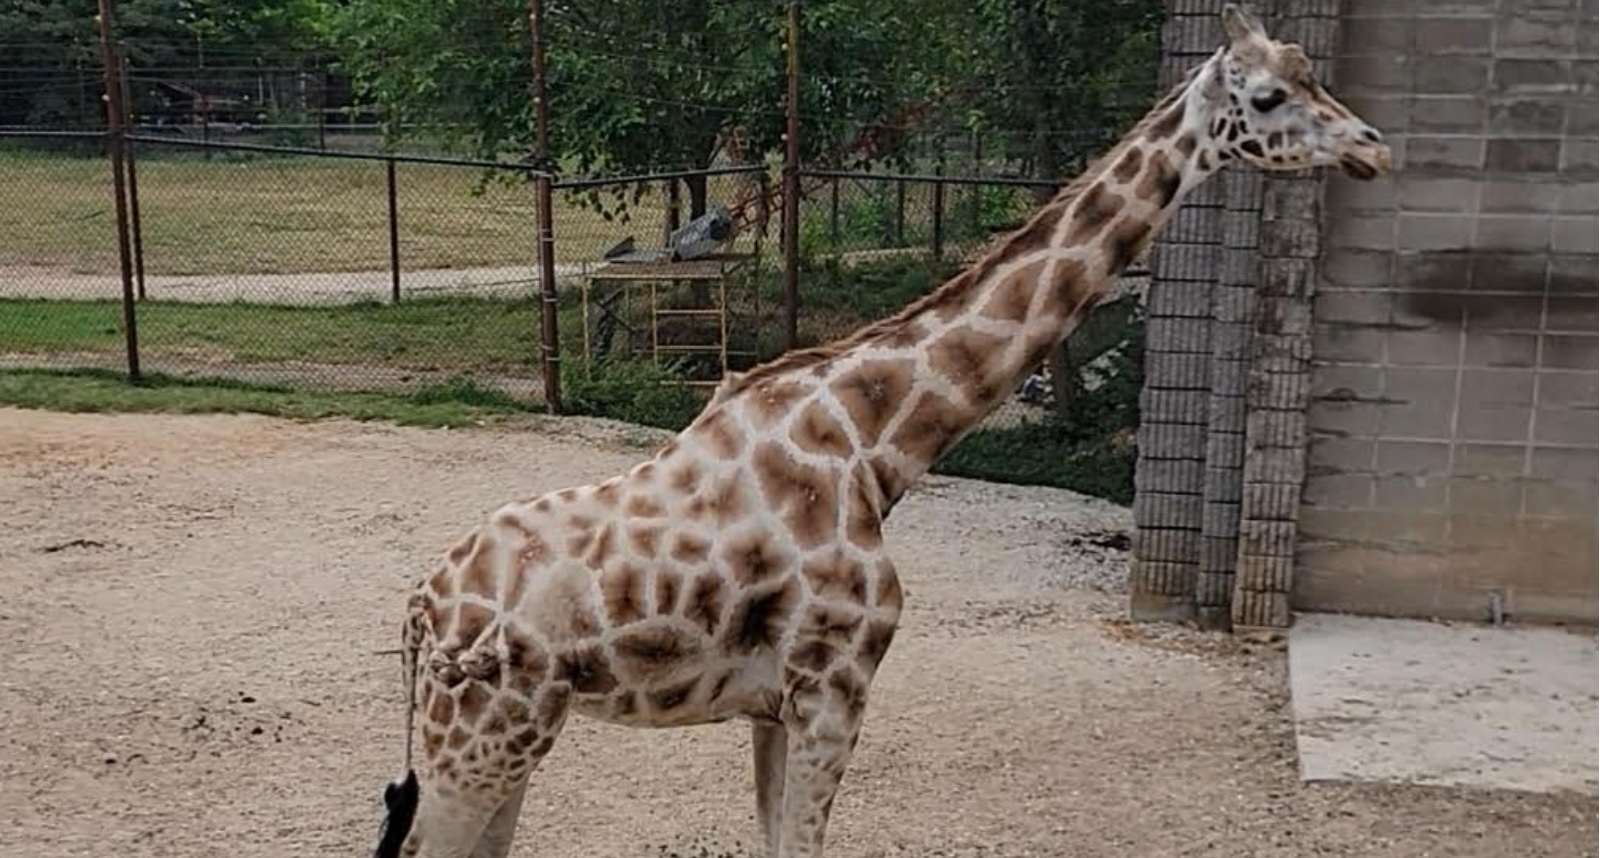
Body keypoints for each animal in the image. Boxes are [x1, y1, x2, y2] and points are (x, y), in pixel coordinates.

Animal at [370, 6, 1391, 857]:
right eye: (1268, 96)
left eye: (1311, 73)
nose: (1374, 148)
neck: (876, 442)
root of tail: (419, 610)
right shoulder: (834, 688)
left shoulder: (777, 706)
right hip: (482, 736)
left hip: (516, 734)